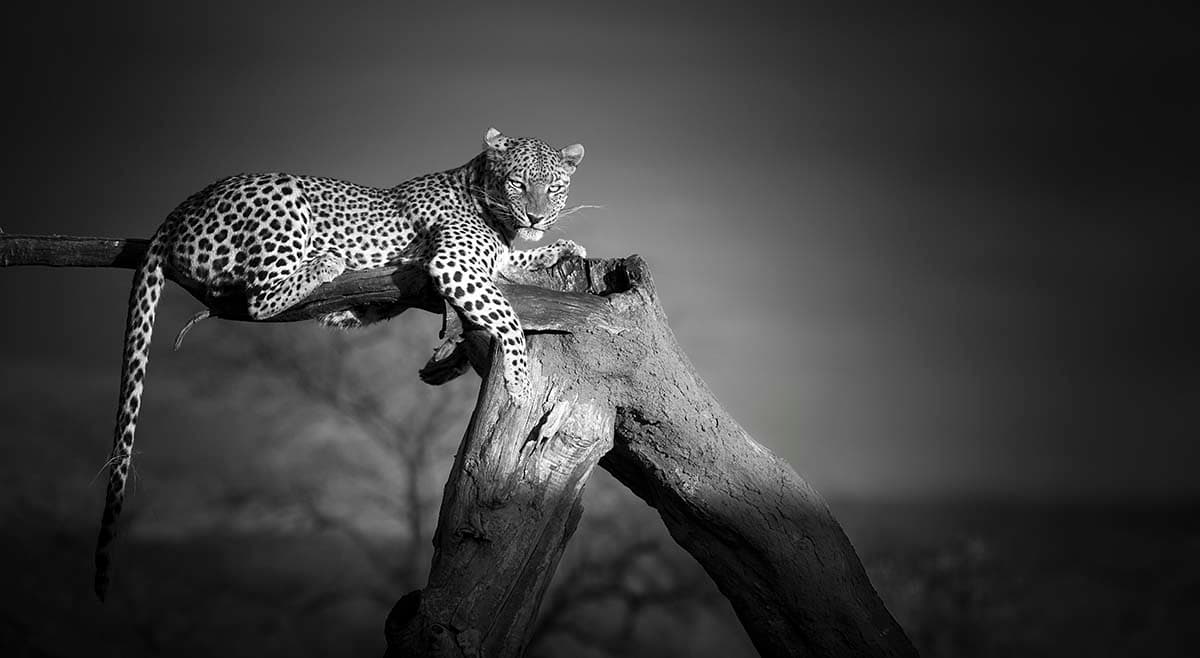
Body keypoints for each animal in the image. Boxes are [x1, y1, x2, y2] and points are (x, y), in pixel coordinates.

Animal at [93, 128, 586, 600]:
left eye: (554, 187)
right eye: (518, 183)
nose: (537, 218)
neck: (490, 205)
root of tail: (182, 207)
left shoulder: (482, 265)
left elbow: (511, 268)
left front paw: (560, 249)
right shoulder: (454, 264)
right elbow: (508, 315)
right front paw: (520, 381)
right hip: (284, 199)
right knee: (259, 298)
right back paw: (327, 261)